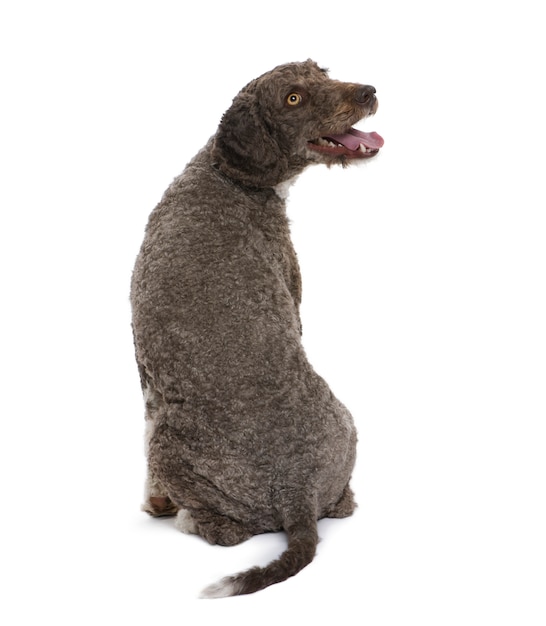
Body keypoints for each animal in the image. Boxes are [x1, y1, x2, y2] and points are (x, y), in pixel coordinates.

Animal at [129, 58, 380, 596]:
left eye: (322, 70)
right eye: (293, 98)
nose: (369, 91)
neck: (225, 176)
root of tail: (297, 495)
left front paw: (156, 500)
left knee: (231, 531)